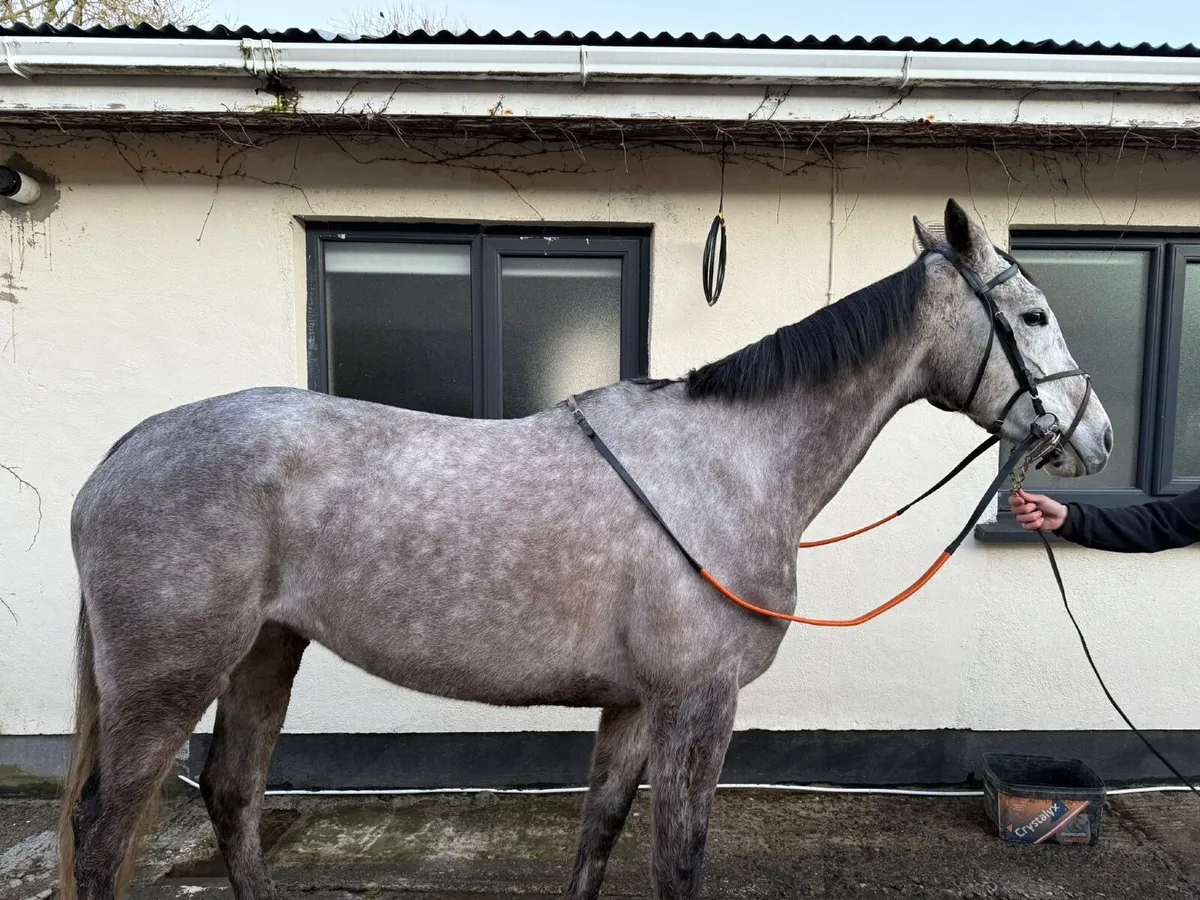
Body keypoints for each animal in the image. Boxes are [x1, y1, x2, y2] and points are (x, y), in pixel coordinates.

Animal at [58, 199, 1113, 900]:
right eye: (1032, 315)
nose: (1094, 437)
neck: (728, 463)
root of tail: (124, 450)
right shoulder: (698, 703)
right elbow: (678, 857)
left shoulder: (635, 705)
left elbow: (599, 833)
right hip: (168, 677)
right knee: (106, 830)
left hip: (265, 653)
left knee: (232, 795)